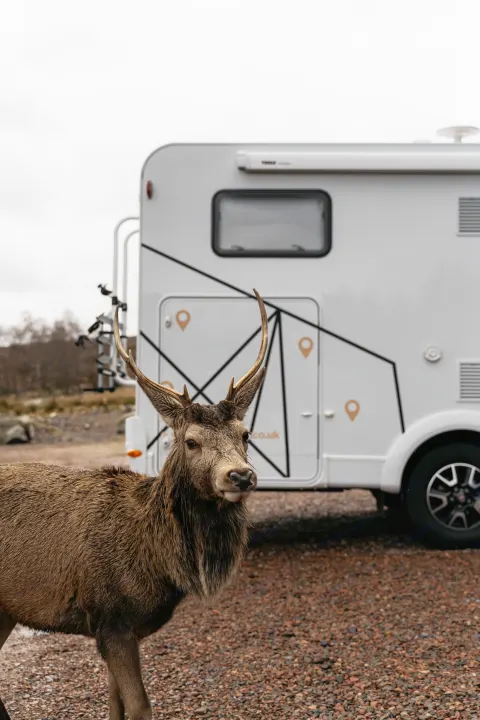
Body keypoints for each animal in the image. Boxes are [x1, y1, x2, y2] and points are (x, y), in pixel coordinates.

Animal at [0, 290, 268, 720]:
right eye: (190, 441)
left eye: (246, 434)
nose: (240, 476)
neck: (155, 557)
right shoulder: (112, 618)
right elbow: (140, 706)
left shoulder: (119, 630)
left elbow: (115, 703)